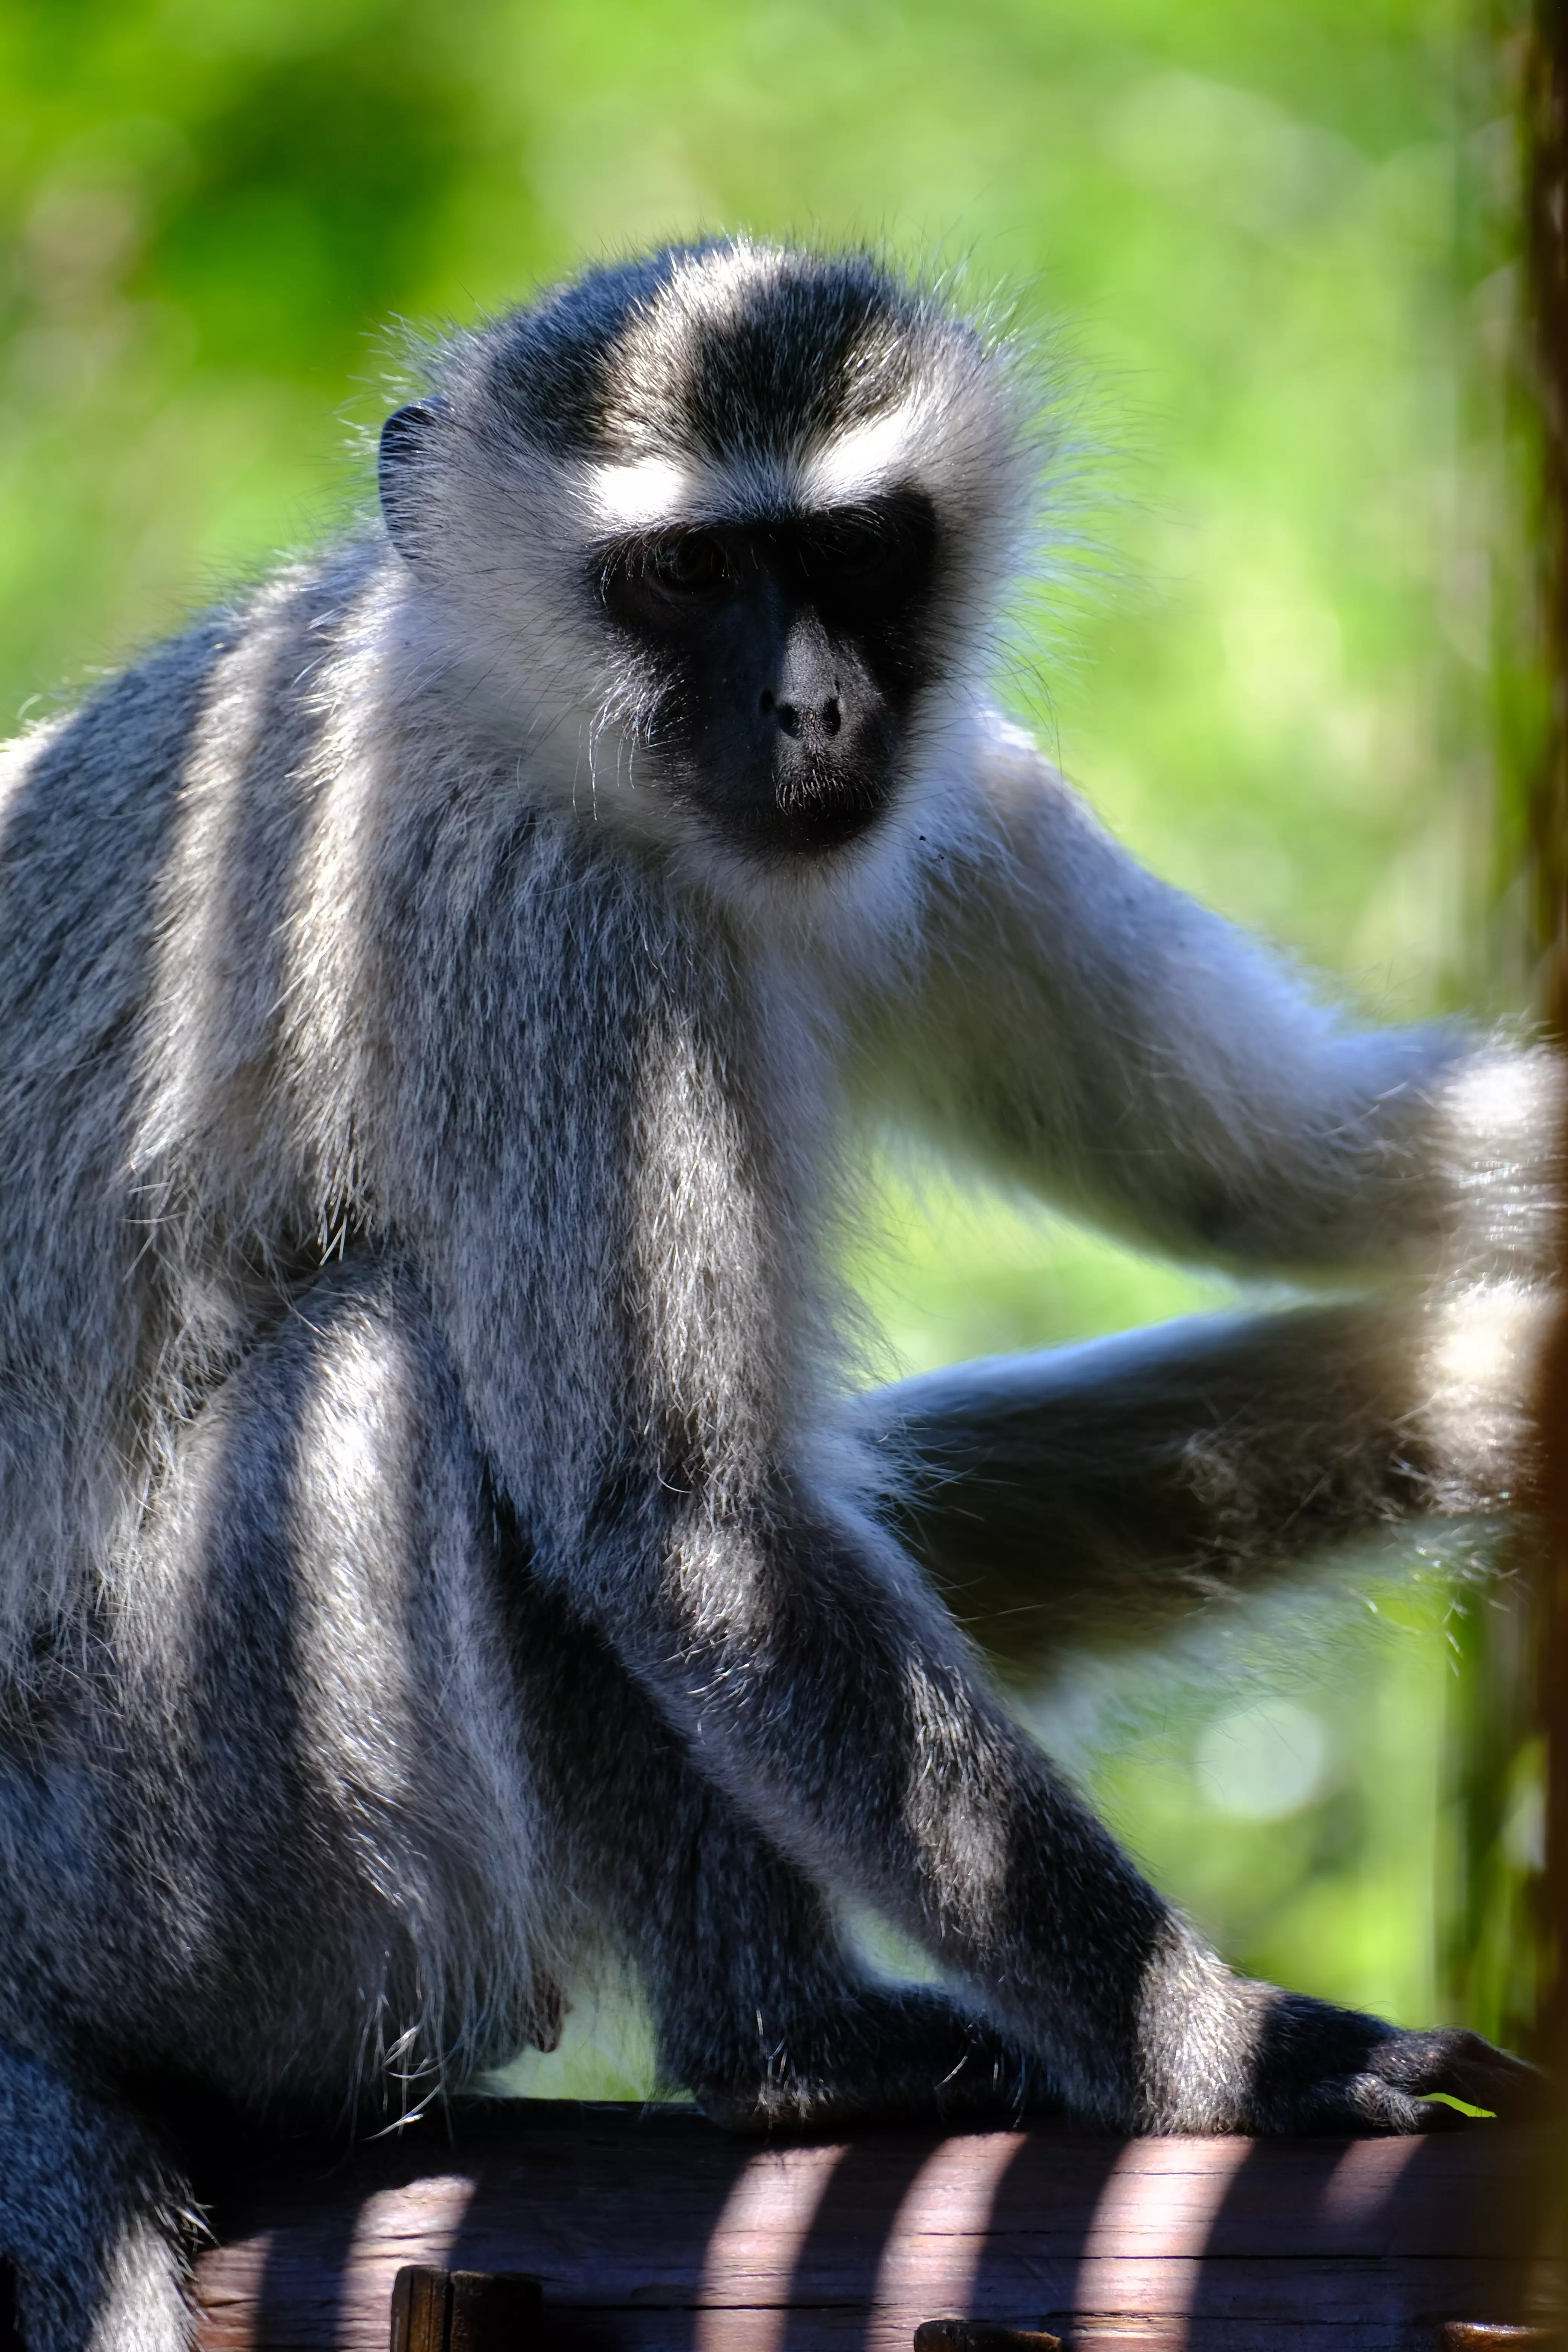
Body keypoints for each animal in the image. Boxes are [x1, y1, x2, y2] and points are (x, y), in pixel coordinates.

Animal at [0, 235, 1556, 2351]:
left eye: (858, 550)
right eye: (682, 574)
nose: (813, 707)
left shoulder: (963, 797)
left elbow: (1290, 1156)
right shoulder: (554, 924)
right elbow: (683, 1521)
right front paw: (1220, 2054)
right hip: (172, 1861)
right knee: (449, 1382)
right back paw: (785, 2054)